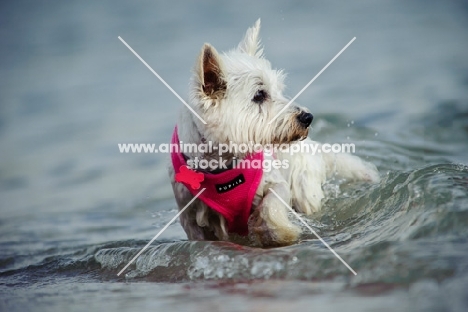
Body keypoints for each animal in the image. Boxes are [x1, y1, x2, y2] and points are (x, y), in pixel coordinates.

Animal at [169, 20, 380, 247]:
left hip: (305, 187)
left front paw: (281, 232)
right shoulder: (190, 215)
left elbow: (271, 205)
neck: (222, 164)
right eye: (259, 95)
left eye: (278, 89)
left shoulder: (277, 183)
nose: (307, 117)